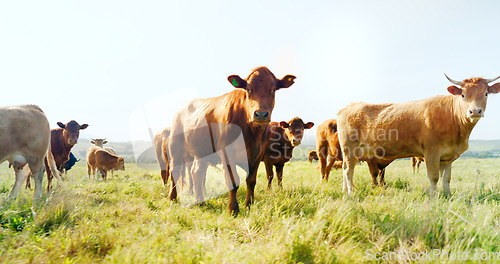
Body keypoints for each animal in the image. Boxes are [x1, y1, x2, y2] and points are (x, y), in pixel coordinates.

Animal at [170, 67, 294, 216]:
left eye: (273, 89)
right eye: (248, 89)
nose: (260, 114)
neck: (250, 132)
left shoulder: (257, 155)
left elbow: (251, 181)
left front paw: (248, 206)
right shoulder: (227, 153)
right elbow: (233, 181)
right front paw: (233, 209)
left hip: (202, 151)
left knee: (197, 172)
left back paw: (200, 201)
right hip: (175, 147)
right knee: (174, 170)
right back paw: (173, 198)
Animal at [336, 74, 500, 196]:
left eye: (486, 93)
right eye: (463, 95)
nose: (475, 111)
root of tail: (349, 106)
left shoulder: (447, 156)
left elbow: (446, 179)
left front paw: (447, 196)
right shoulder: (431, 152)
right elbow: (434, 177)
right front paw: (433, 198)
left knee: (345, 169)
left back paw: (344, 191)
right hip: (350, 148)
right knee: (348, 170)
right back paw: (350, 192)